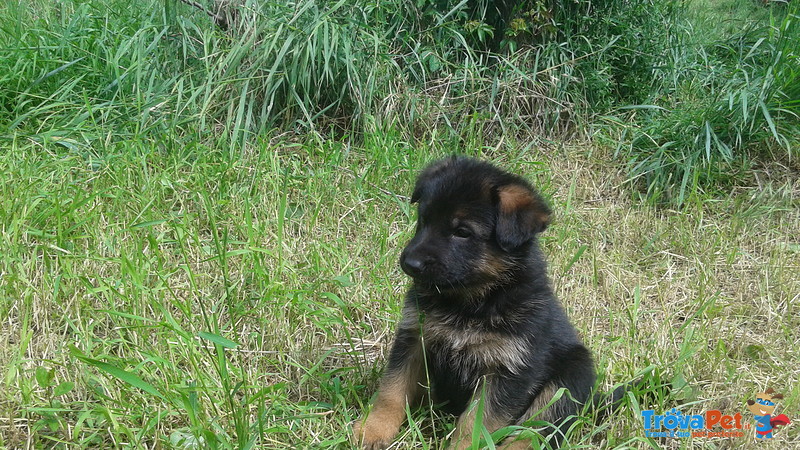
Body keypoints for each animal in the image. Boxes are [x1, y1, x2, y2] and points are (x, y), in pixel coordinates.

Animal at [354, 156, 592, 448]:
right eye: (424, 220)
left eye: (462, 232)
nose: (410, 263)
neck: (472, 301)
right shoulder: (413, 338)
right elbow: (392, 390)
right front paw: (373, 429)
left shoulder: (508, 370)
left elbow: (477, 422)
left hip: (570, 378)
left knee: (533, 431)